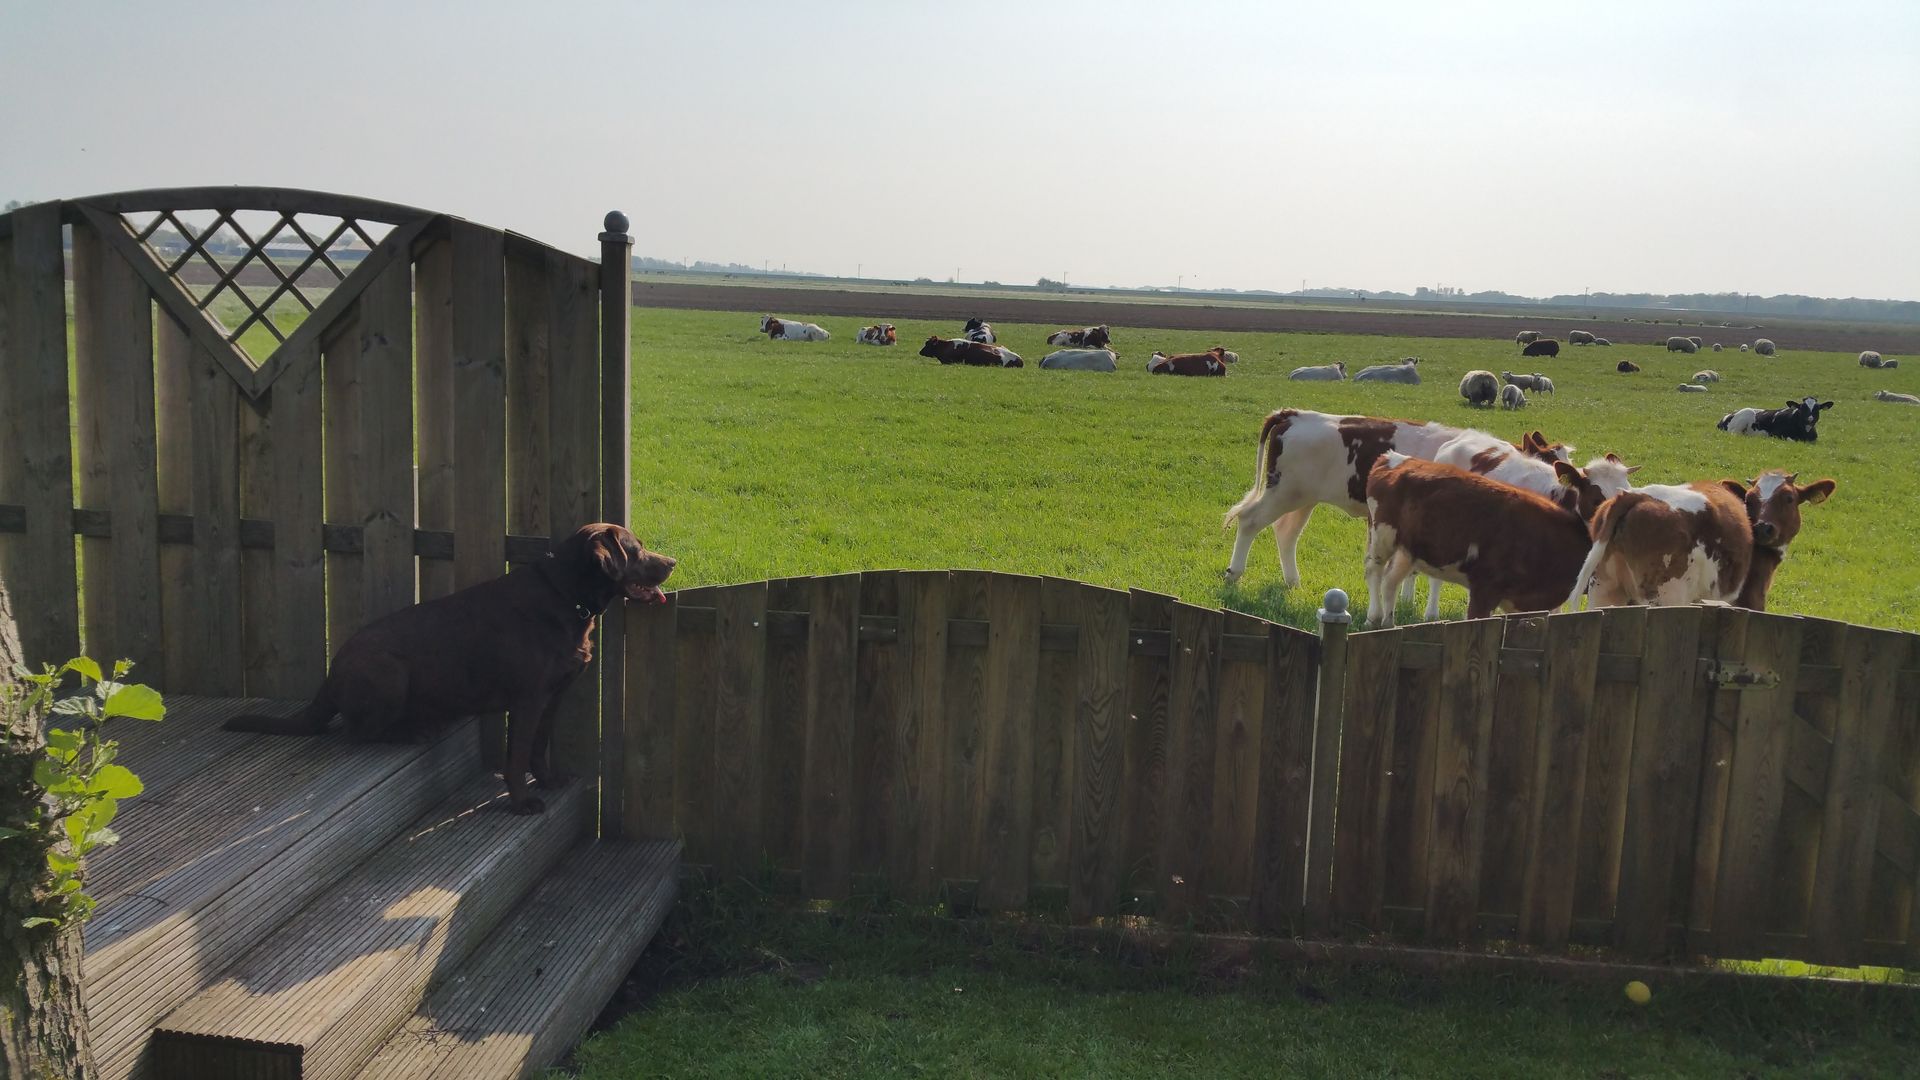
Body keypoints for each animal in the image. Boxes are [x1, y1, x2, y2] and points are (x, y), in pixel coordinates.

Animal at [1363, 454, 1608, 626]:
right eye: (1596, 499)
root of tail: (1392, 458)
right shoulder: (1484, 589)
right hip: (1382, 535)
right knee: (1374, 571)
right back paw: (1373, 618)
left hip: (1407, 549)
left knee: (1390, 581)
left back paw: (1389, 623)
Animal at [1565, 471, 1835, 611]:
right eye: (1750, 498)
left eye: (1788, 498)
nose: (1763, 528)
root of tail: (1634, 496)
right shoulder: (1752, 599)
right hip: (1667, 595)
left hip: (1605, 590)